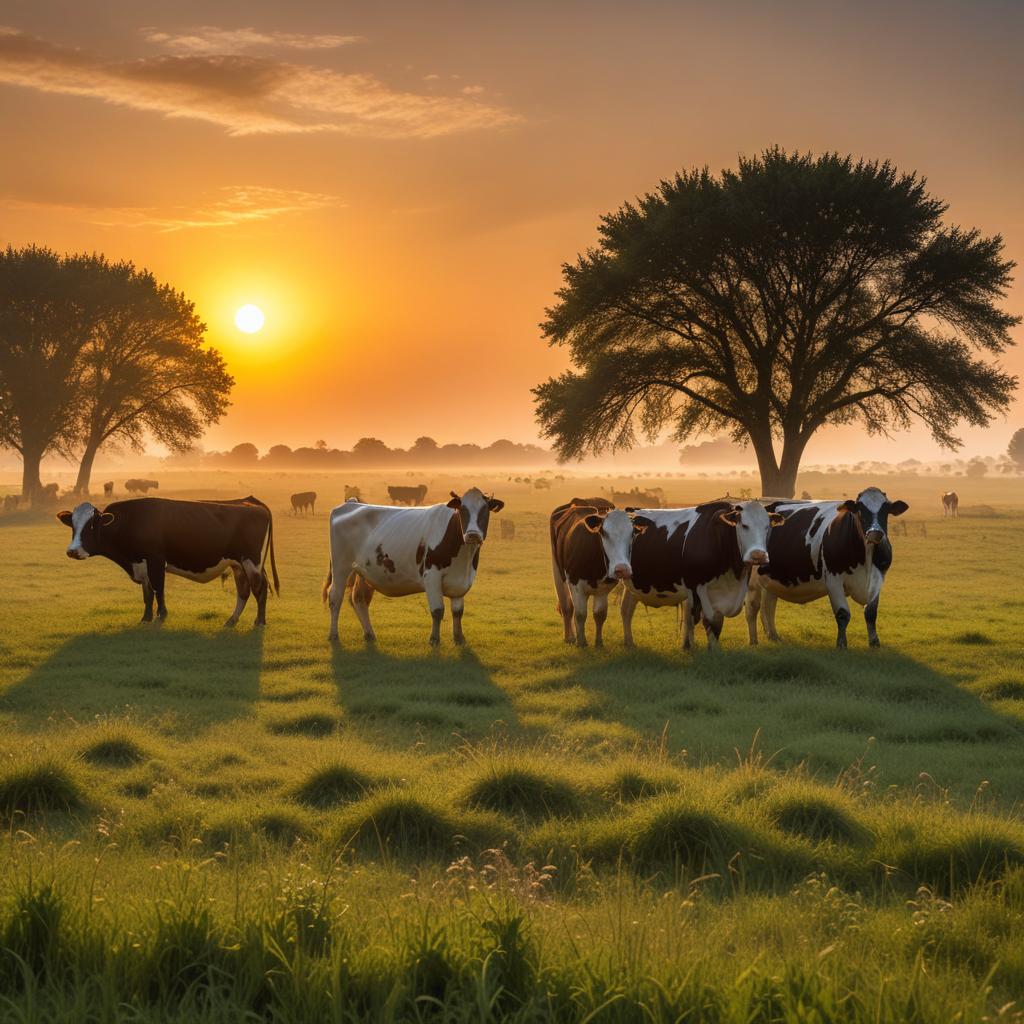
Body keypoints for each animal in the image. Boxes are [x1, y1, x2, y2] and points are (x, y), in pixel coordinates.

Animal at [56, 496, 279, 627]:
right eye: (73, 525)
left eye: (92, 526)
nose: (72, 551)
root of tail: (251, 502)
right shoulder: (141, 564)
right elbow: (147, 595)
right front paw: (146, 618)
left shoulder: (155, 560)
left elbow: (158, 589)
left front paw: (161, 615)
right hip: (238, 564)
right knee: (244, 591)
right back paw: (232, 620)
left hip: (251, 562)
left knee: (259, 589)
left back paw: (259, 621)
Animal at [324, 487, 504, 646]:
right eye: (462, 510)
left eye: (485, 510)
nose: (473, 535)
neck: (464, 559)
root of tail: (351, 503)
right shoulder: (431, 576)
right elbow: (437, 611)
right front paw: (434, 639)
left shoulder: (461, 581)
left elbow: (458, 612)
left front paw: (459, 638)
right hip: (341, 567)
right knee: (335, 598)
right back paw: (333, 635)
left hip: (364, 572)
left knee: (359, 599)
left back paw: (369, 634)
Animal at [550, 498, 650, 647]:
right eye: (604, 533)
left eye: (632, 534)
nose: (622, 569)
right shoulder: (575, 584)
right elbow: (580, 614)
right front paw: (581, 642)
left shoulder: (604, 589)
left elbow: (600, 614)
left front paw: (598, 642)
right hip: (558, 573)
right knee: (566, 607)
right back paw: (570, 637)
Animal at [620, 500, 784, 650]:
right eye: (744, 525)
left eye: (767, 527)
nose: (758, 555)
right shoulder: (696, 587)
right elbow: (704, 619)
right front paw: (700, 648)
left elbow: (717, 621)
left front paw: (713, 649)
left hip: (631, 585)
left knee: (626, 610)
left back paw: (629, 643)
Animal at [744, 487, 908, 649]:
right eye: (860, 509)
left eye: (885, 509)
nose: (875, 532)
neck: (866, 559)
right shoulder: (833, 580)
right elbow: (843, 614)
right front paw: (841, 644)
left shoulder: (878, 579)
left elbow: (871, 613)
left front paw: (874, 642)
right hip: (752, 580)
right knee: (753, 607)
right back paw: (753, 641)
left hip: (770, 578)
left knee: (768, 606)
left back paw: (773, 636)